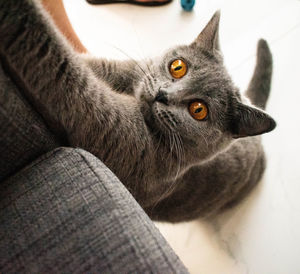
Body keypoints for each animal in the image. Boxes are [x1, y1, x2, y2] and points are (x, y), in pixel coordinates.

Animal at [0, 0, 276, 223]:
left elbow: (60, 65)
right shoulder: (113, 69)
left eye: (199, 110)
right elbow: (83, 62)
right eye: (178, 67)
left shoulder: (109, 127)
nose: (163, 94)